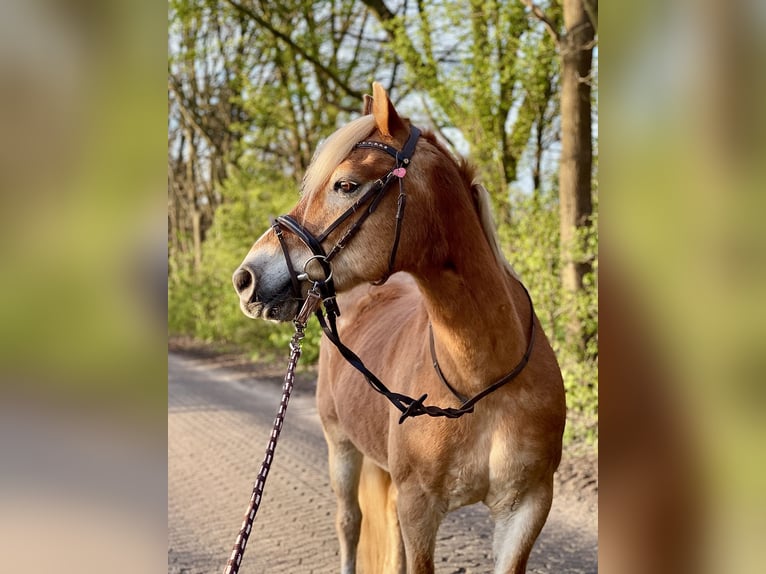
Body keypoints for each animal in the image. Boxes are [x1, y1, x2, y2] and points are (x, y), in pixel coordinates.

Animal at [232, 82, 566, 574]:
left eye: (346, 185)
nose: (246, 278)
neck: (482, 380)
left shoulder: (526, 507)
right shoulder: (419, 504)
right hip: (341, 447)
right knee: (349, 523)